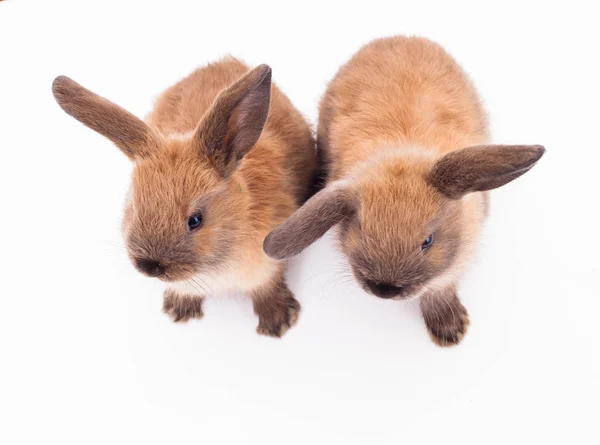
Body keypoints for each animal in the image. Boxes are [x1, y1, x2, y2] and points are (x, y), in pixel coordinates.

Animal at [54, 56, 318, 336]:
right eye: (134, 206)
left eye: (195, 220)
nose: (149, 267)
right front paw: (178, 311)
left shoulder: (266, 267)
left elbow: (266, 287)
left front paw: (279, 323)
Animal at [262, 36, 544, 346]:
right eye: (360, 230)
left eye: (427, 241)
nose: (384, 290)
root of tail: (397, 37)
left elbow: (440, 289)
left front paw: (450, 330)